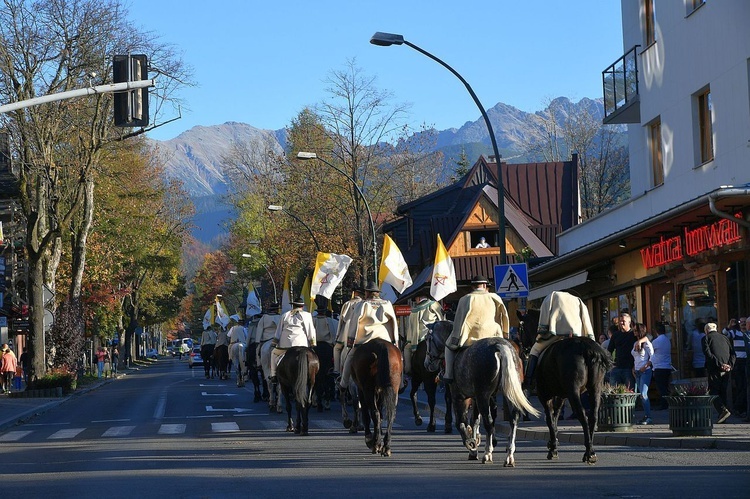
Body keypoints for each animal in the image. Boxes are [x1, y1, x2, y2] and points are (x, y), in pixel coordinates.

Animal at [450, 336, 544, 468]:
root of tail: (499, 346)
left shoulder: (460, 396)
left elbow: (462, 422)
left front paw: (471, 444)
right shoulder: (478, 397)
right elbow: (475, 420)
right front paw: (474, 445)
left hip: (483, 395)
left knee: (488, 422)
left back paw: (487, 454)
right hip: (508, 393)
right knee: (513, 419)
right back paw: (509, 456)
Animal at [520, 308, 612, 464]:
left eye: (521, 328)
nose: (522, 349)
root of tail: (586, 348)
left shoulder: (545, 395)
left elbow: (550, 418)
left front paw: (553, 448)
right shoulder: (561, 395)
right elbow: (556, 416)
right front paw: (553, 443)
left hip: (573, 391)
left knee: (582, 415)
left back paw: (589, 452)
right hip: (595, 389)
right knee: (593, 416)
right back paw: (590, 450)